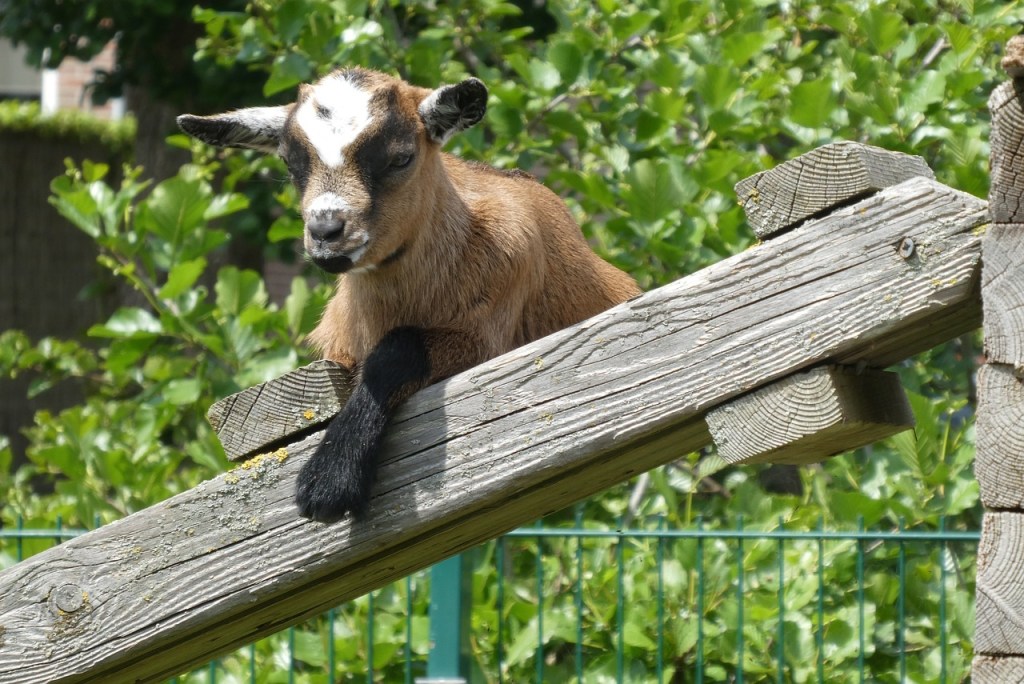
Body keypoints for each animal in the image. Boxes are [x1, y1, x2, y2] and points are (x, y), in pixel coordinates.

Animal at [178, 68, 641, 523]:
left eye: (401, 158)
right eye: (290, 163)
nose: (326, 232)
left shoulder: (488, 334)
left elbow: (396, 351)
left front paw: (329, 481)